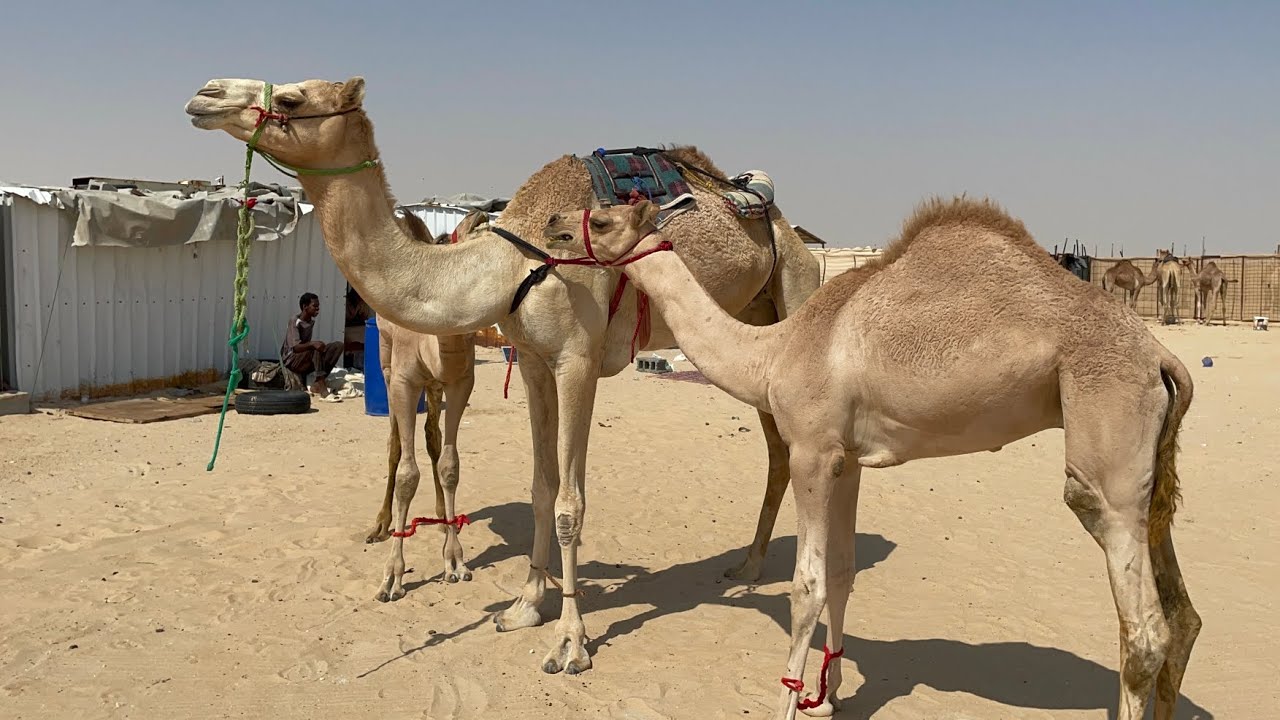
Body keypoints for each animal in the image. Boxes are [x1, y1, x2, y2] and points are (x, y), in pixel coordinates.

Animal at [364, 209, 490, 603]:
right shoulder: (404, 383)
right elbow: (407, 473)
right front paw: (392, 577)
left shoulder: (461, 382)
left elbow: (450, 464)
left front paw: (455, 561)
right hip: (387, 364)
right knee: (395, 444)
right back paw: (381, 525)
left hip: (434, 388)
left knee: (432, 436)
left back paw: (440, 518)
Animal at [543, 198, 1200, 720]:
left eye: (601, 219)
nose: (551, 224)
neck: (774, 352)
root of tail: (1160, 356)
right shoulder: (849, 459)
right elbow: (842, 571)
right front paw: (828, 695)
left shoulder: (811, 450)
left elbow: (806, 585)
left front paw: (787, 703)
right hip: (1146, 460)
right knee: (1182, 615)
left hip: (1105, 434)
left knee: (1142, 626)